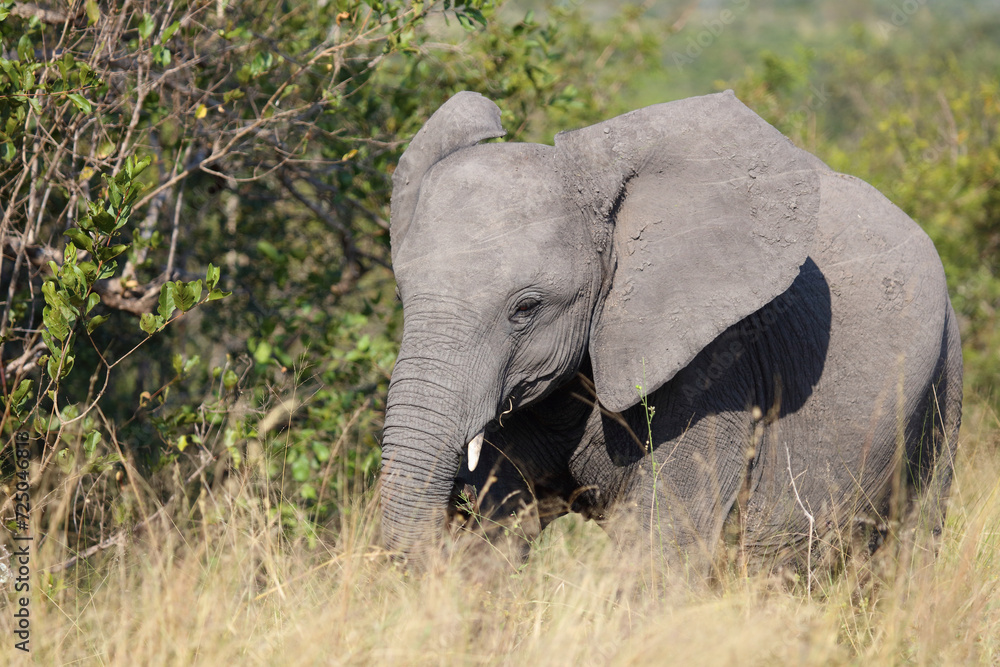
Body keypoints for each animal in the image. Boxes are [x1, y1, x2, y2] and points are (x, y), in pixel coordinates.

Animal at [379, 90, 963, 576]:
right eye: (403, 297)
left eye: (526, 308)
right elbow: (498, 530)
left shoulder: (720, 363)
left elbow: (662, 542)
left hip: (944, 378)